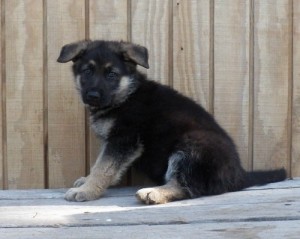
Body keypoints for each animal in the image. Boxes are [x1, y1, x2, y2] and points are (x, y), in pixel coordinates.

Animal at [58, 40, 286, 204]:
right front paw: (86, 181)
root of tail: (239, 175)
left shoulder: (124, 140)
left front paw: (86, 190)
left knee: (190, 186)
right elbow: (102, 164)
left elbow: (103, 168)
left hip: (192, 145)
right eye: (87, 71)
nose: (93, 96)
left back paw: (154, 193)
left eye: (112, 75)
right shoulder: (114, 142)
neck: (125, 95)